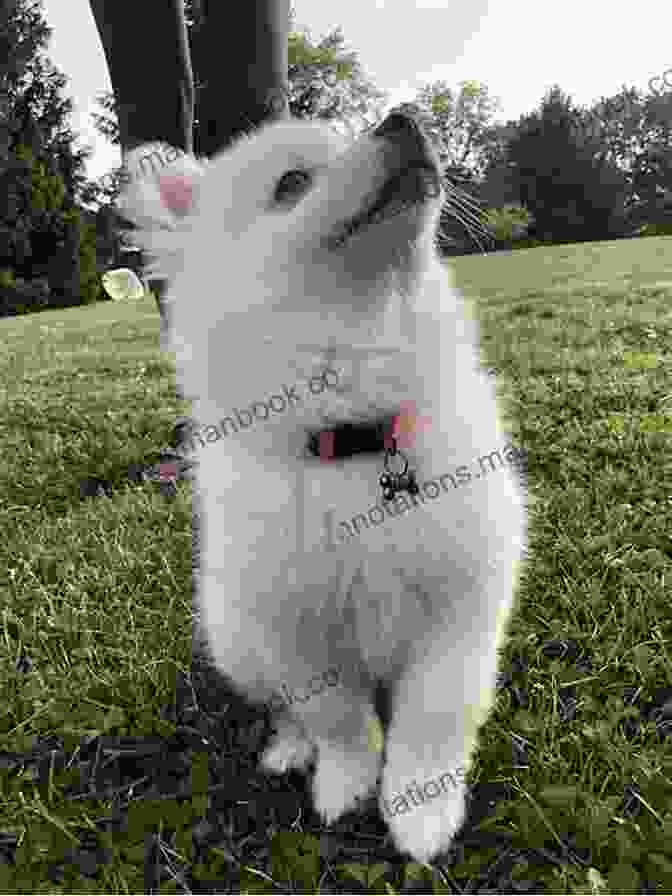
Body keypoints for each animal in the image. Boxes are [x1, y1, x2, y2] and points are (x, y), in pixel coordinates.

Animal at [122, 112, 532, 860]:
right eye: (291, 183)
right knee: (283, 709)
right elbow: (337, 719)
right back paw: (289, 749)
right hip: (237, 639)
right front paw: (347, 785)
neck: (358, 436)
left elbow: (433, 719)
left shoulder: (459, 612)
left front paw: (421, 811)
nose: (405, 117)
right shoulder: (297, 636)